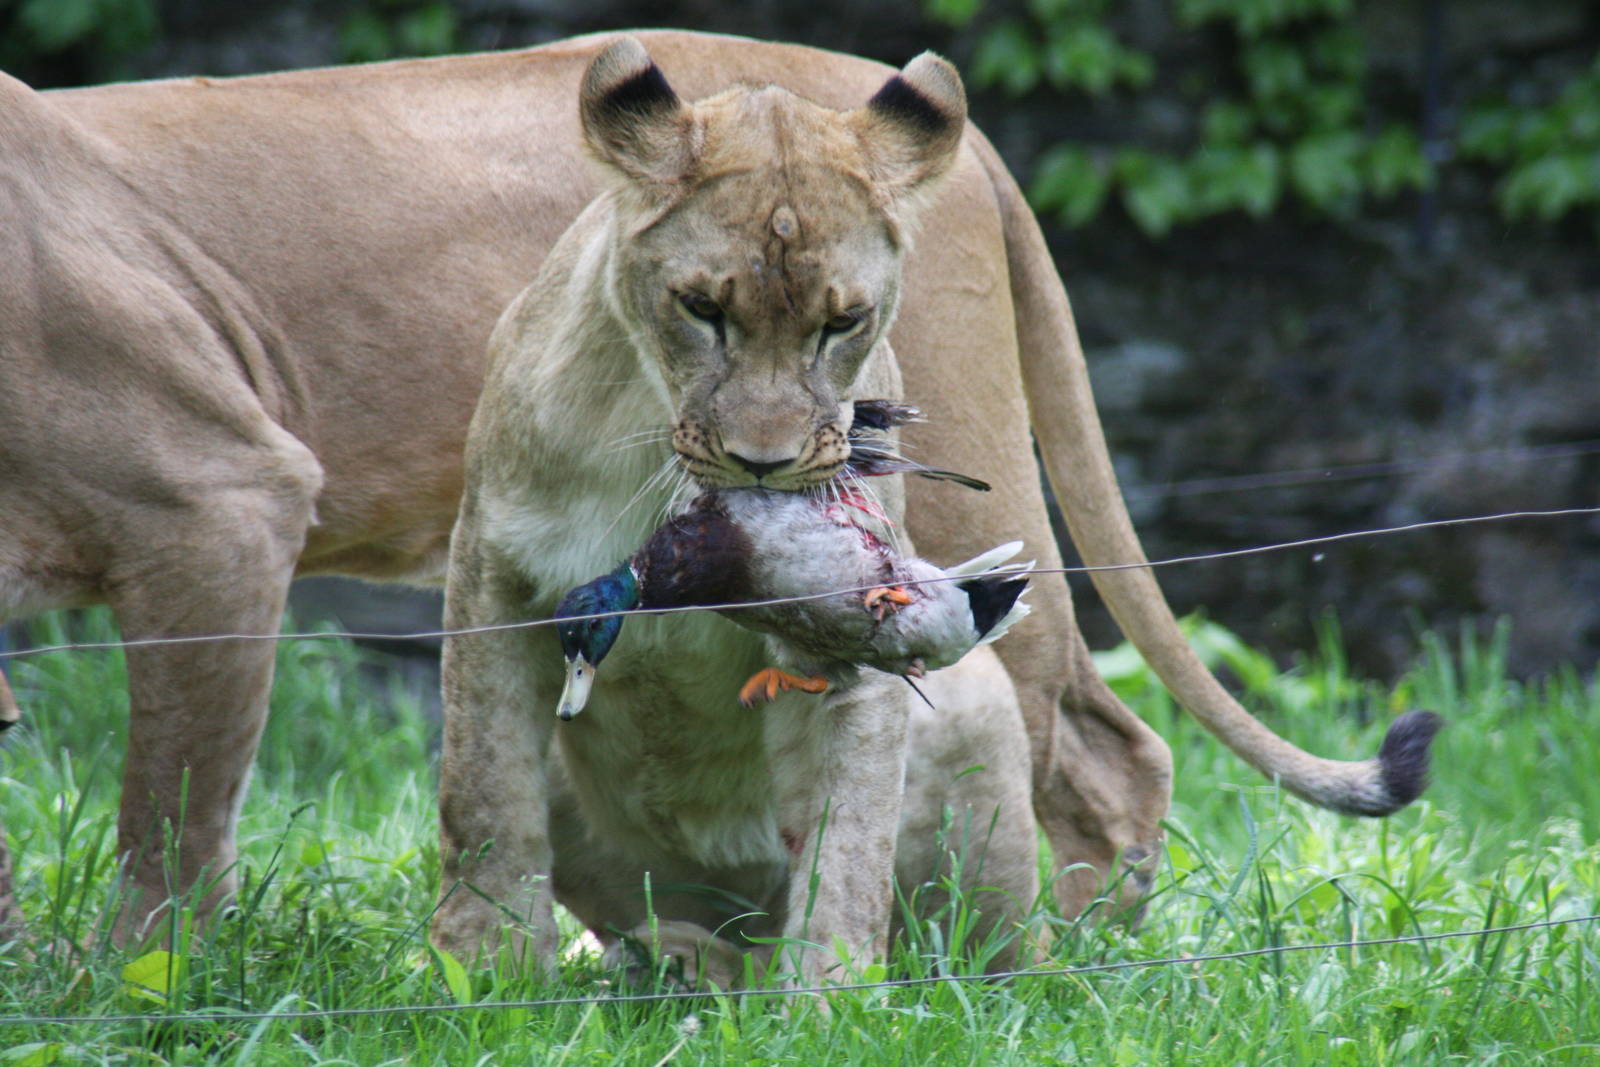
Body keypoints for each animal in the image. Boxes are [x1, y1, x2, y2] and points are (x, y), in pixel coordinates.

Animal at [0, 30, 1437, 953]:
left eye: (837, 322)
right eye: (698, 308)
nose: (762, 460)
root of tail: (972, 148)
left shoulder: (222, 495)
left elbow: (173, 808)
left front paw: (141, 986)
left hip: (970, 505)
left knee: (1092, 753)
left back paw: (1067, 968)